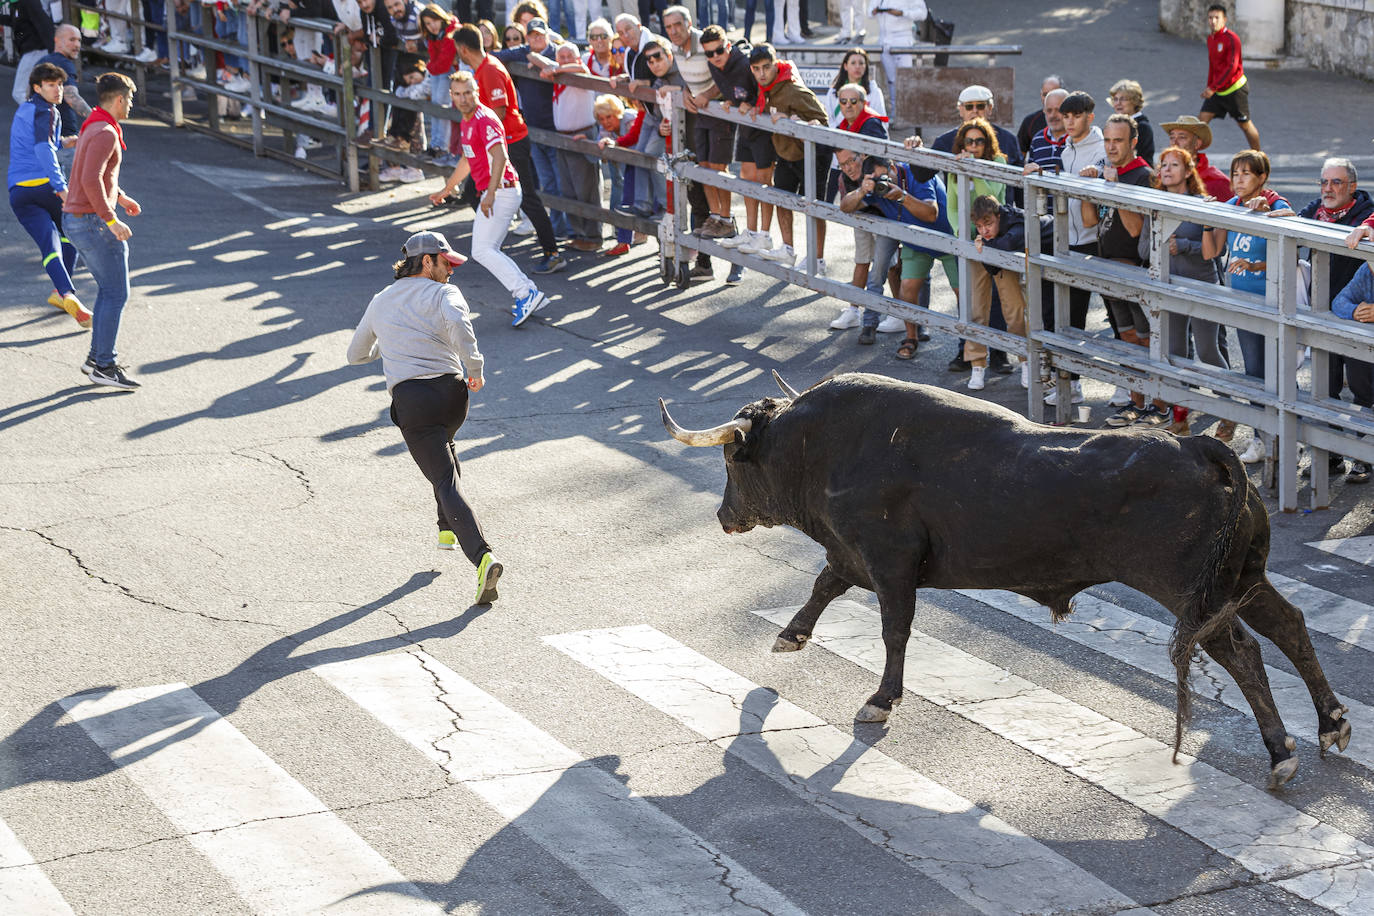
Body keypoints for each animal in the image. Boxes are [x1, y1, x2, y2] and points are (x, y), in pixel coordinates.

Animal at [662, 373, 1352, 791]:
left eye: (731, 459)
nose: (723, 516)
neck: (823, 444)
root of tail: (1201, 448)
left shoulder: (889, 562)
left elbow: (892, 630)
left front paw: (882, 699)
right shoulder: (855, 556)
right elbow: (823, 585)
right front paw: (791, 636)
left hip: (1194, 597)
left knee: (1244, 652)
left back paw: (1282, 751)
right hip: (1245, 578)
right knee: (1289, 626)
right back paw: (1331, 724)